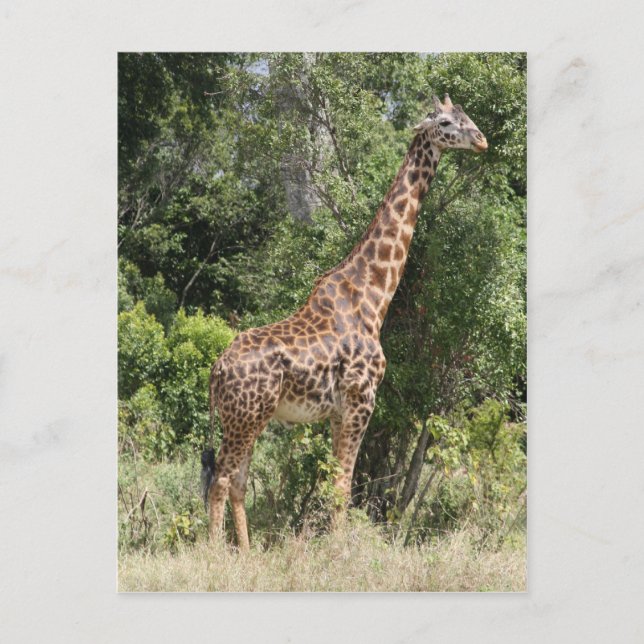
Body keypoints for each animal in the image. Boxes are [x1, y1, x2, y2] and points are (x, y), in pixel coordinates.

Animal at [202, 94, 488, 550]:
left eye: (466, 117)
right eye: (445, 123)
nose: (481, 140)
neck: (374, 296)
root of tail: (216, 370)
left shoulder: (338, 411)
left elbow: (336, 481)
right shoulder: (360, 400)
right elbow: (342, 484)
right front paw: (338, 551)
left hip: (247, 418)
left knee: (237, 482)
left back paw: (246, 552)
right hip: (245, 417)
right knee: (221, 480)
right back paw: (217, 554)